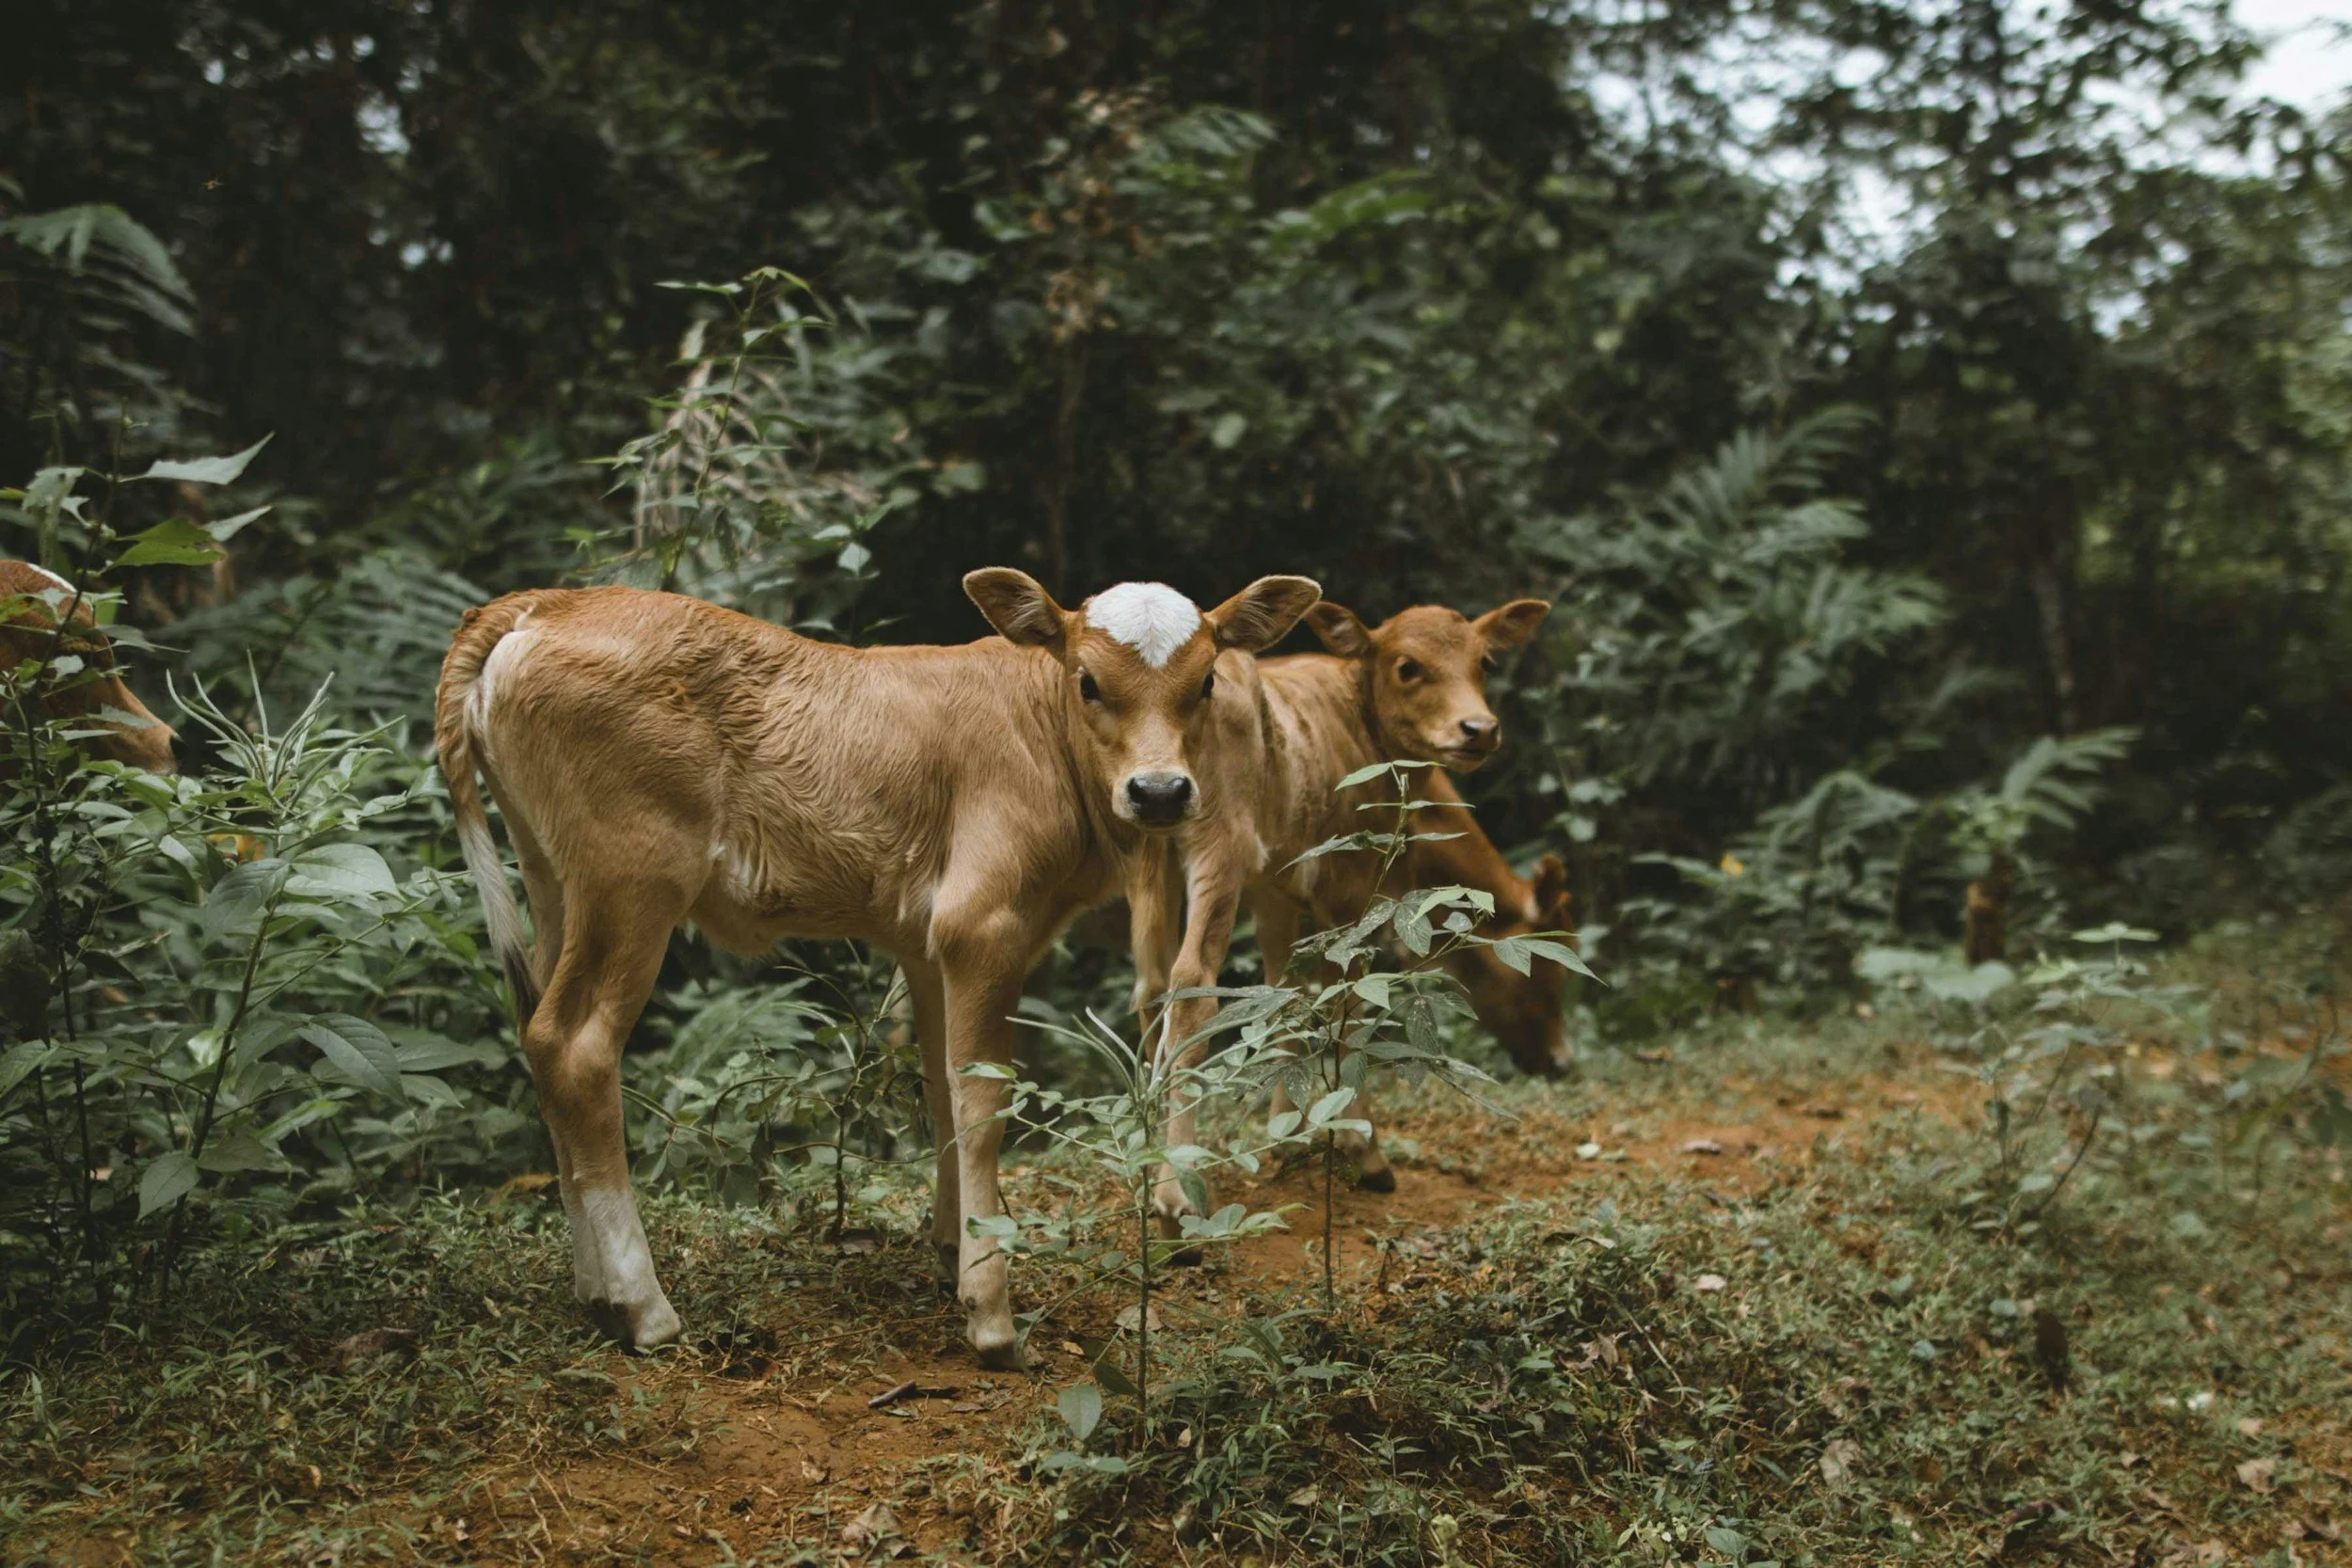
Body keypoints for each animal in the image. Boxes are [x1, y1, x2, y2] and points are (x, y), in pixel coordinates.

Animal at [434, 570, 1320, 1367]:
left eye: (1205, 680)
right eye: (1089, 681)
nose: (1161, 791)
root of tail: (547, 601)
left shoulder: (927, 946)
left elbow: (941, 1087)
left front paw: (952, 1243)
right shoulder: (981, 925)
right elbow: (983, 1100)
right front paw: (991, 1311)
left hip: (555, 881)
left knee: (539, 1037)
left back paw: (592, 1291)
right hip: (633, 881)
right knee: (578, 1047)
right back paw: (642, 1305)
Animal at [1133, 597, 1568, 1223]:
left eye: (1484, 661)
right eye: (1407, 667)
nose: (1480, 729)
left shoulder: (1276, 889)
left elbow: (1284, 990)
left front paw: (1284, 1134)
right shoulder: (1348, 883)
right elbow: (1349, 1003)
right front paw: (1365, 1151)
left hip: (1146, 859)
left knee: (1149, 987)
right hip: (1219, 846)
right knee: (1191, 985)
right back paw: (1175, 1193)